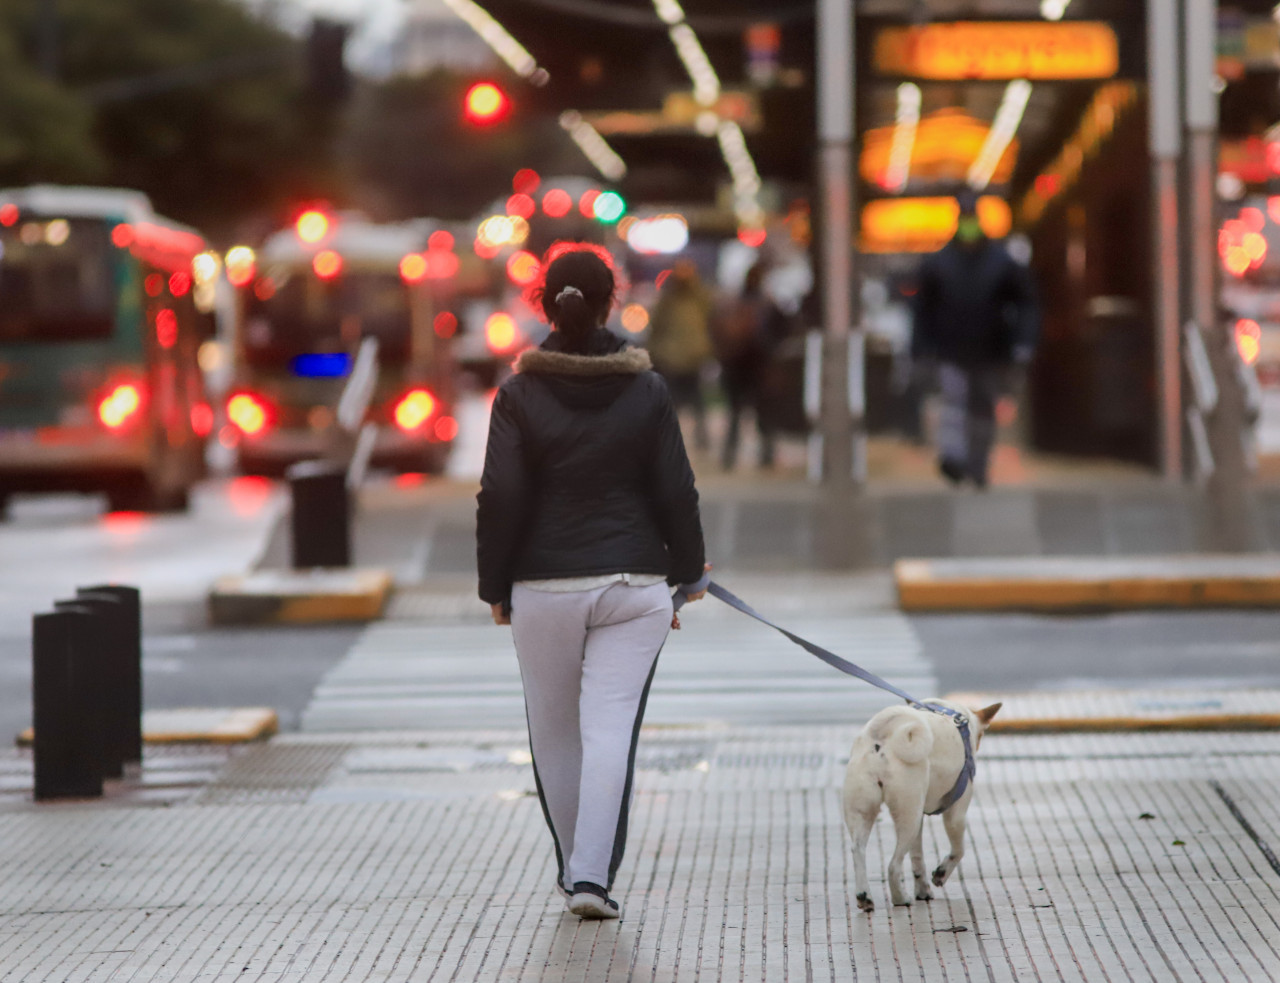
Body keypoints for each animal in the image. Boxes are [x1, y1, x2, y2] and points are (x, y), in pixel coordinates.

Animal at [839, 696, 998, 911]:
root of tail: (882, 739)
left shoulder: (920, 818)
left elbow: (917, 858)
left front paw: (923, 890)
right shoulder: (955, 816)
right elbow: (958, 850)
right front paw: (941, 873)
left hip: (868, 810)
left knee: (858, 850)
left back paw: (865, 897)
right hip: (909, 817)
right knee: (893, 865)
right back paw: (900, 898)